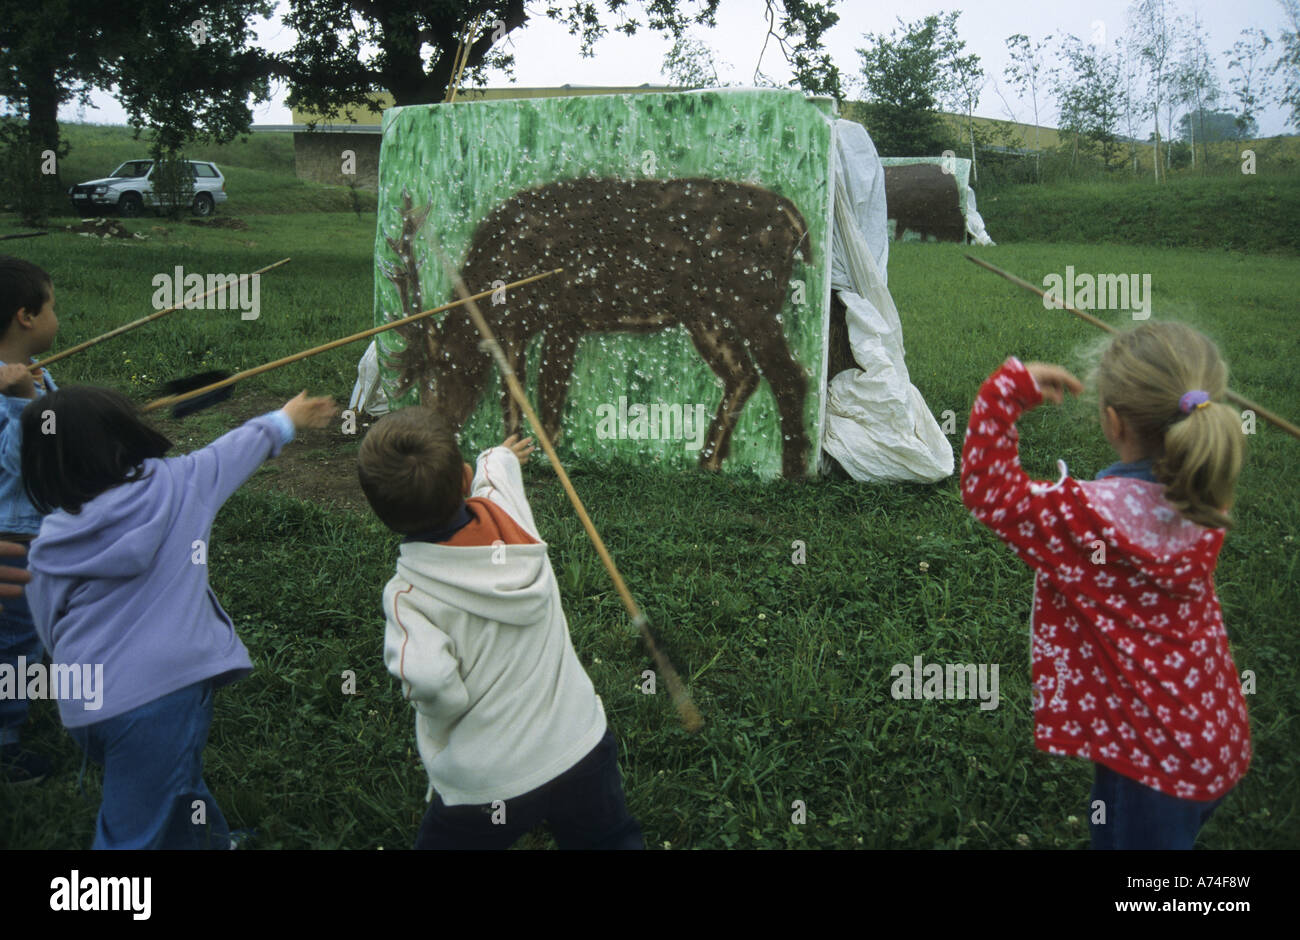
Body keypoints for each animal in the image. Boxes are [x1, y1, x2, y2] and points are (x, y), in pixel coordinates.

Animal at [382, 178, 811, 478]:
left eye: (436, 373)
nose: (425, 436)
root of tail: (796, 222)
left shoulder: (561, 315)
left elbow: (544, 396)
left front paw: (541, 458)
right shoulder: (529, 325)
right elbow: (520, 394)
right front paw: (522, 450)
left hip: (752, 300)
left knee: (790, 375)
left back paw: (792, 473)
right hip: (705, 313)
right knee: (744, 375)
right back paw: (708, 463)